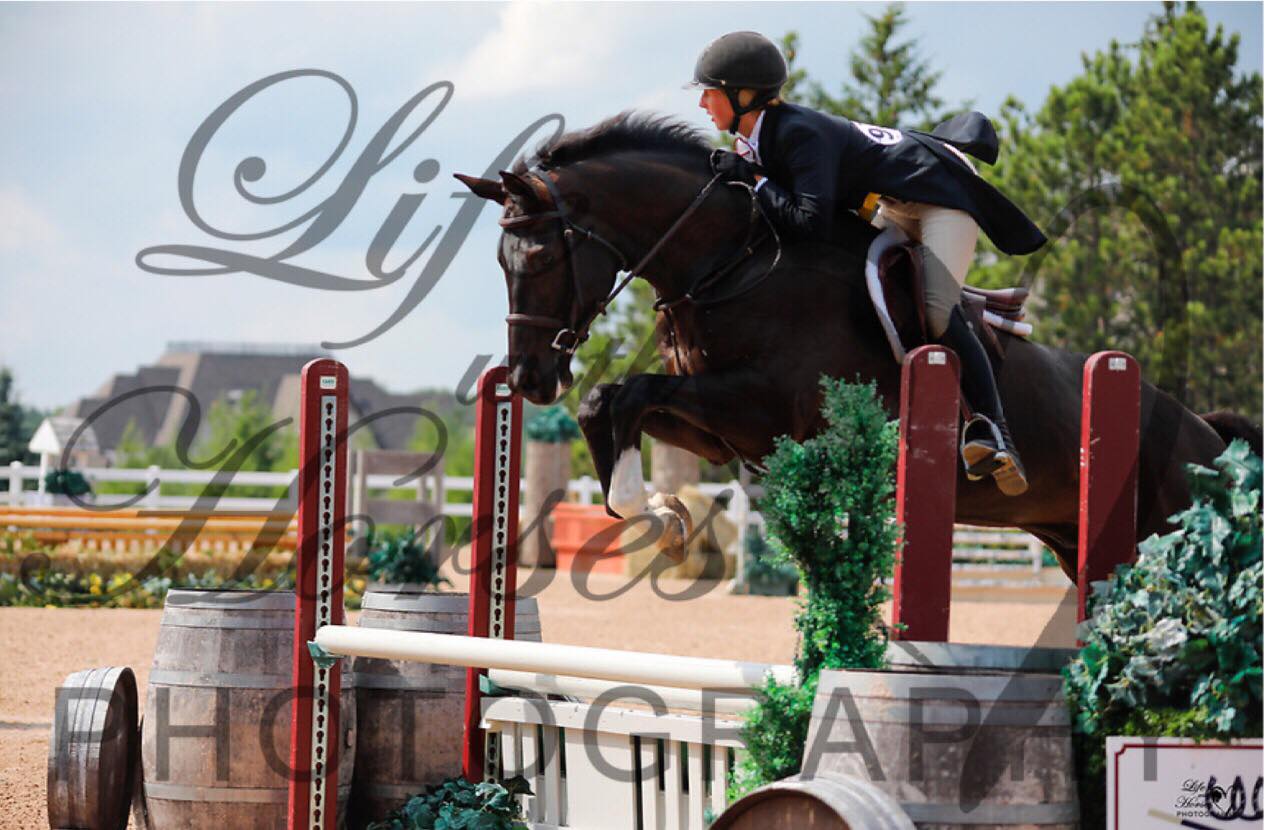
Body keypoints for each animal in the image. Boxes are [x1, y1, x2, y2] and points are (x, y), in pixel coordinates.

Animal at [458, 111, 1255, 576]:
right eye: (500, 264)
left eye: (541, 260)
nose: (529, 379)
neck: (732, 262)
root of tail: (1207, 436)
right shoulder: (718, 429)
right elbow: (614, 404)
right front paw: (661, 513)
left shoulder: (763, 408)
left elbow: (619, 393)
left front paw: (654, 512)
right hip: (1073, 541)